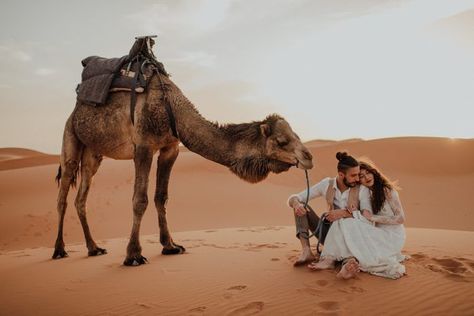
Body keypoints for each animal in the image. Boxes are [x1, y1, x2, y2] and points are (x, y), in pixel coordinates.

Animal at [53, 68, 312, 264]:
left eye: (297, 135)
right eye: (282, 141)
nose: (309, 156)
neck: (172, 109)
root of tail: (74, 110)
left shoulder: (171, 148)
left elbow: (161, 196)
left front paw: (170, 245)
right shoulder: (143, 146)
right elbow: (140, 200)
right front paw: (133, 255)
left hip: (93, 153)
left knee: (81, 199)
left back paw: (94, 248)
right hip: (70, 137)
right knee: (63, 194)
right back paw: (59, 250)